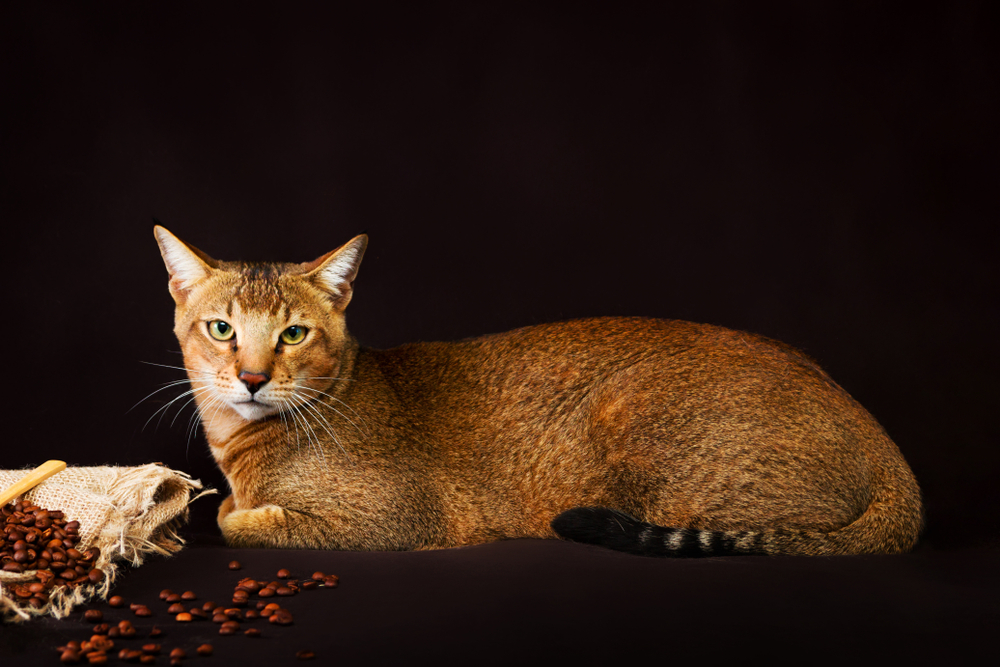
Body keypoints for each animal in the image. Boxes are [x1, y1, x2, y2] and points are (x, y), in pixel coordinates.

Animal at [152, 227, 924, 556]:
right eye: (221, 329)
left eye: (292, 334)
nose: (252, 378)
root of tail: (887, 449)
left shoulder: (397, 518)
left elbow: (238, 519)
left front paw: (237, 510)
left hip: (633, 412)